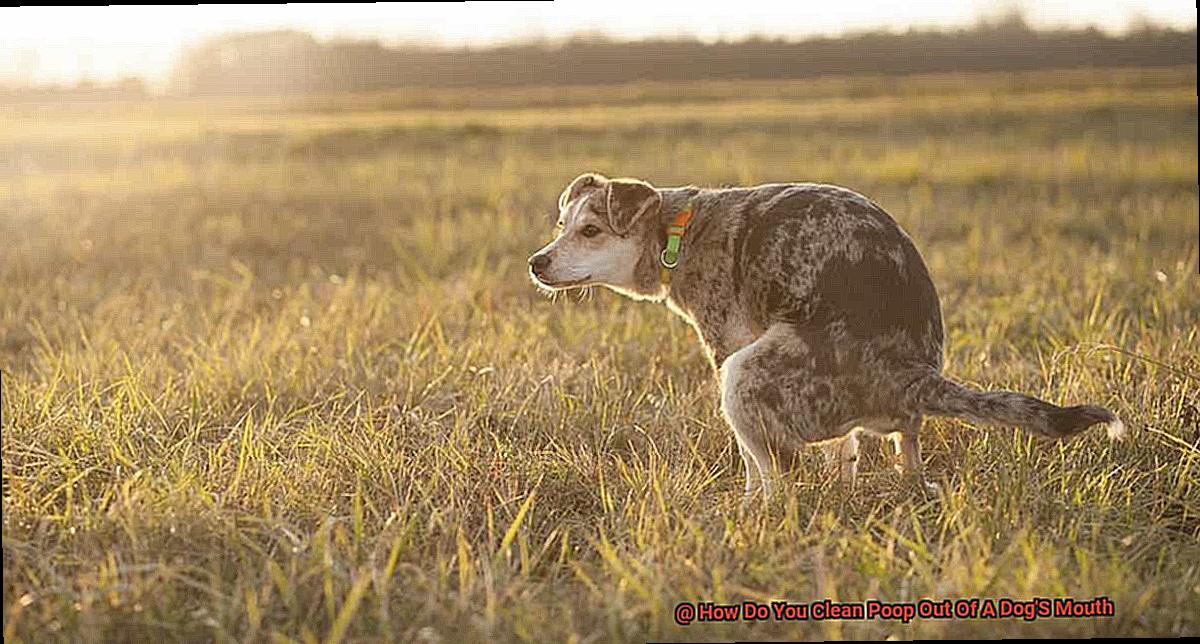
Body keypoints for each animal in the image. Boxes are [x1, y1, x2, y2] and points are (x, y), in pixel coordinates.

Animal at [525, 172, 1123, 498]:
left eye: (591, 230)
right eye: (561, 226)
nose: (536, 263)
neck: (678, 230)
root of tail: (914, 375)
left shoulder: (727, 347)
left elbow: (755, 467)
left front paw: (748, 507)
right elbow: (846, 452)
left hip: (745, 374)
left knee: (782, 476)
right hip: (879, 417)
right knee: (903, 450)